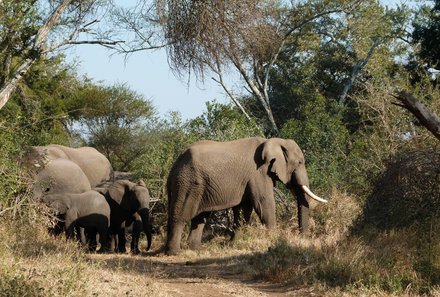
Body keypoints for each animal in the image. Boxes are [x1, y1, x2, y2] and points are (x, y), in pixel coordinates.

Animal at [167, 136, 328, 254]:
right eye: (300, 162)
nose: (303, 236)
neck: (273, 141)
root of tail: (175, 164)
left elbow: (243, 208)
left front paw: (234, 243)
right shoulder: (258, 173)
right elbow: (264, 203)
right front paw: (274, 239)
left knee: (200, 217)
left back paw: (196, 249)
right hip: (188, 183)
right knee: (181, 216)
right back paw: (175, 252)